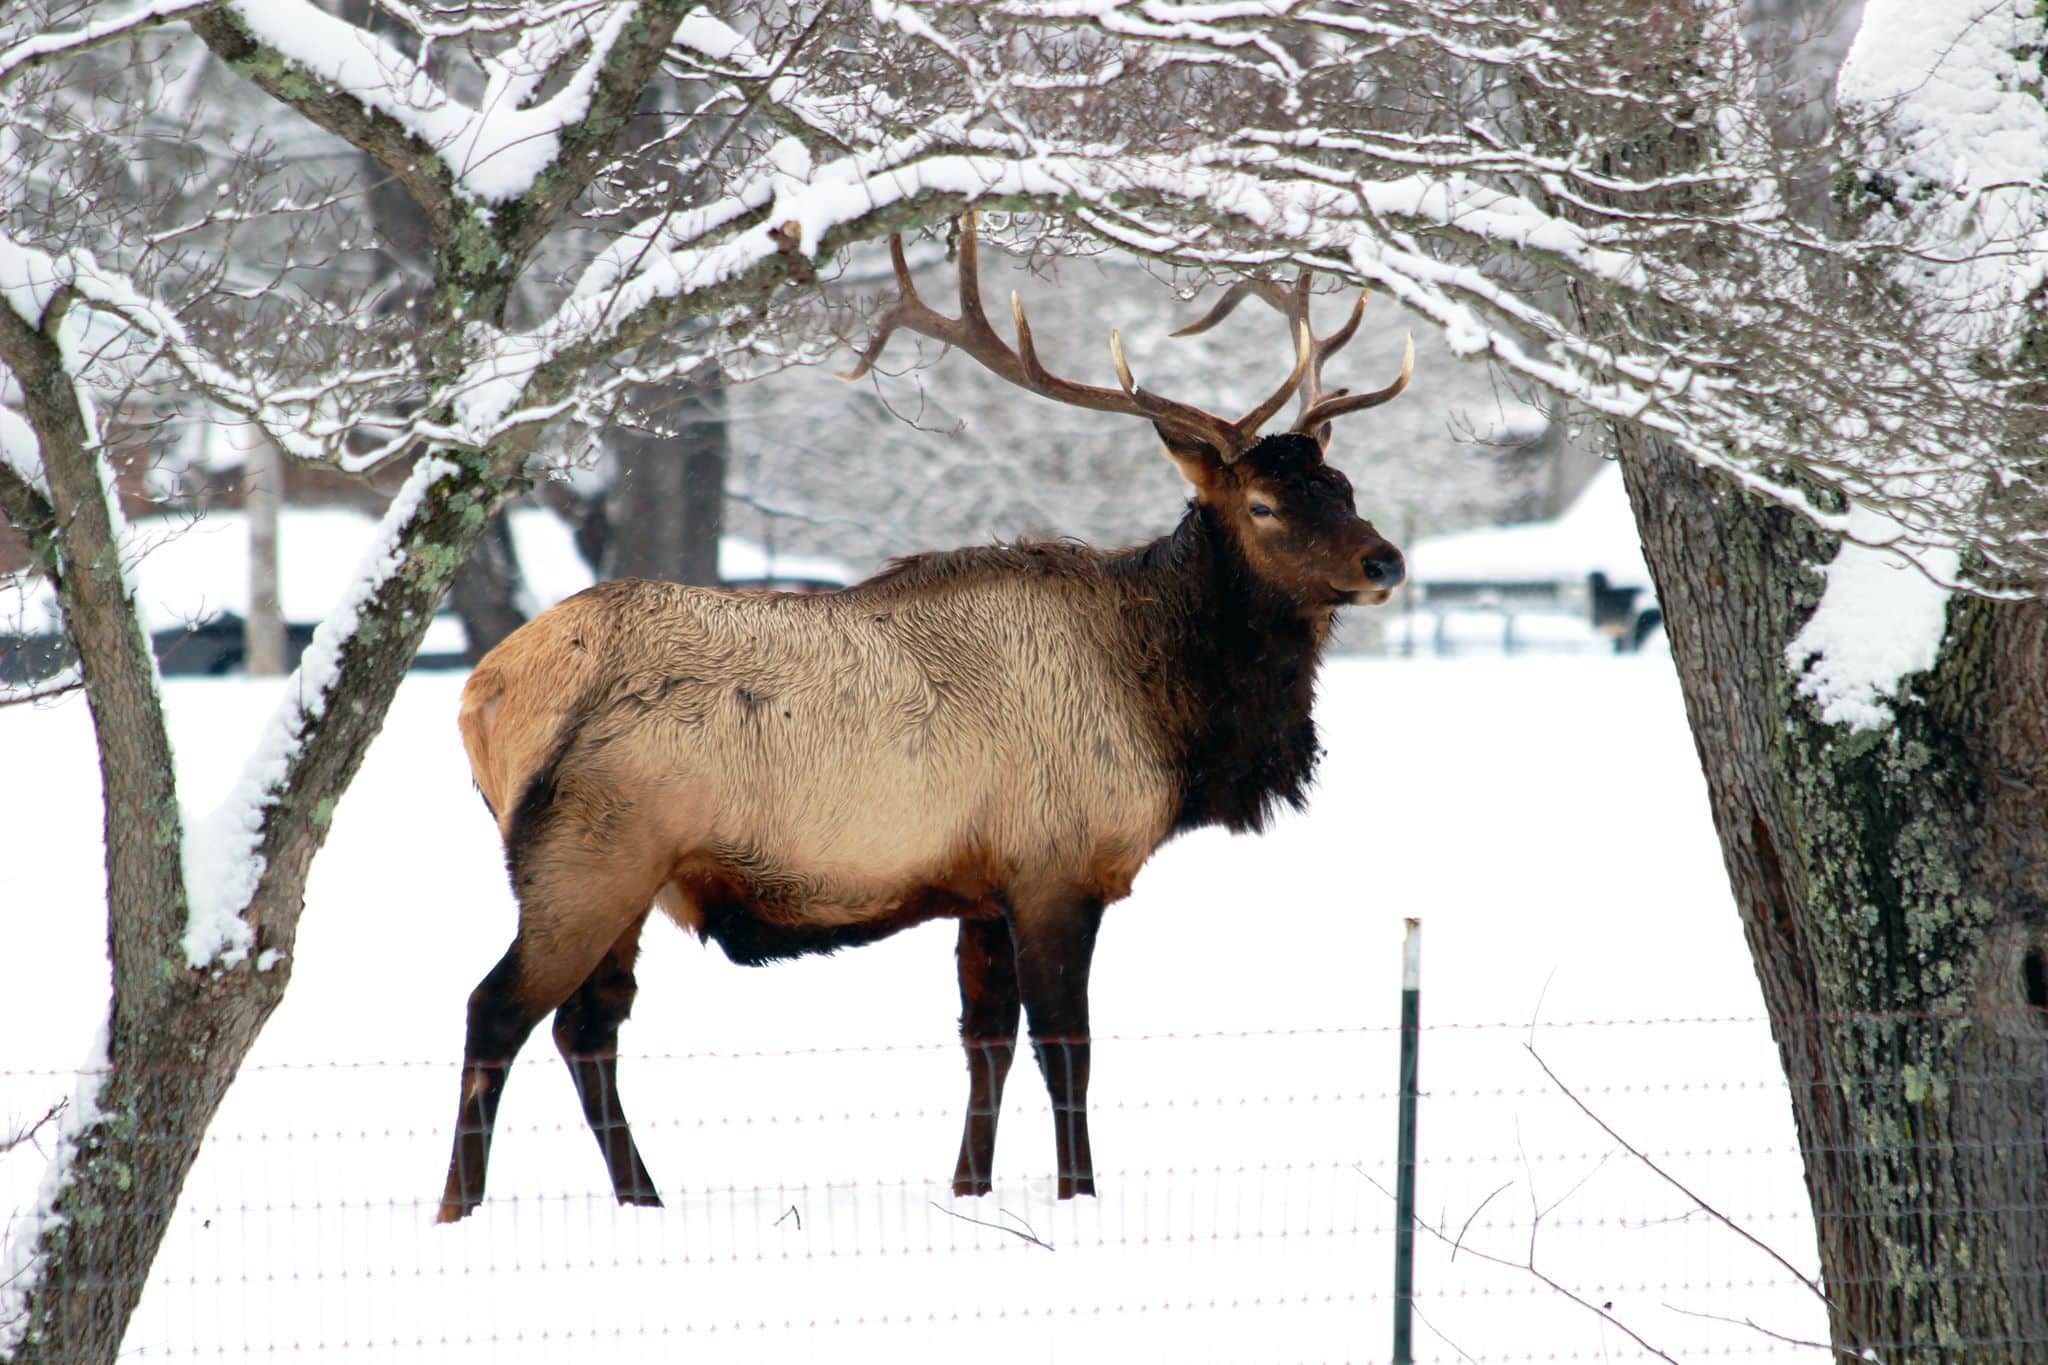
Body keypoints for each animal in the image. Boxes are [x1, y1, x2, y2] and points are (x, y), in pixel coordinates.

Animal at [436, 215, 1413, 1222]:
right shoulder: (1056, 863)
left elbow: (986, 1045)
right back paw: (460, 1210)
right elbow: (1067, 1051)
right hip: (589, 856)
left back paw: (643, 1201)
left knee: (587, 1028)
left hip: (624, 872)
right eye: (1262, 504)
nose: (1385, 560)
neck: (1169, 718)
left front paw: (969, 1190)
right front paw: (1077, 1196)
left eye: (1342, 484)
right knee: (497, 1011)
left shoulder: (981, 885)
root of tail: (481, 693)